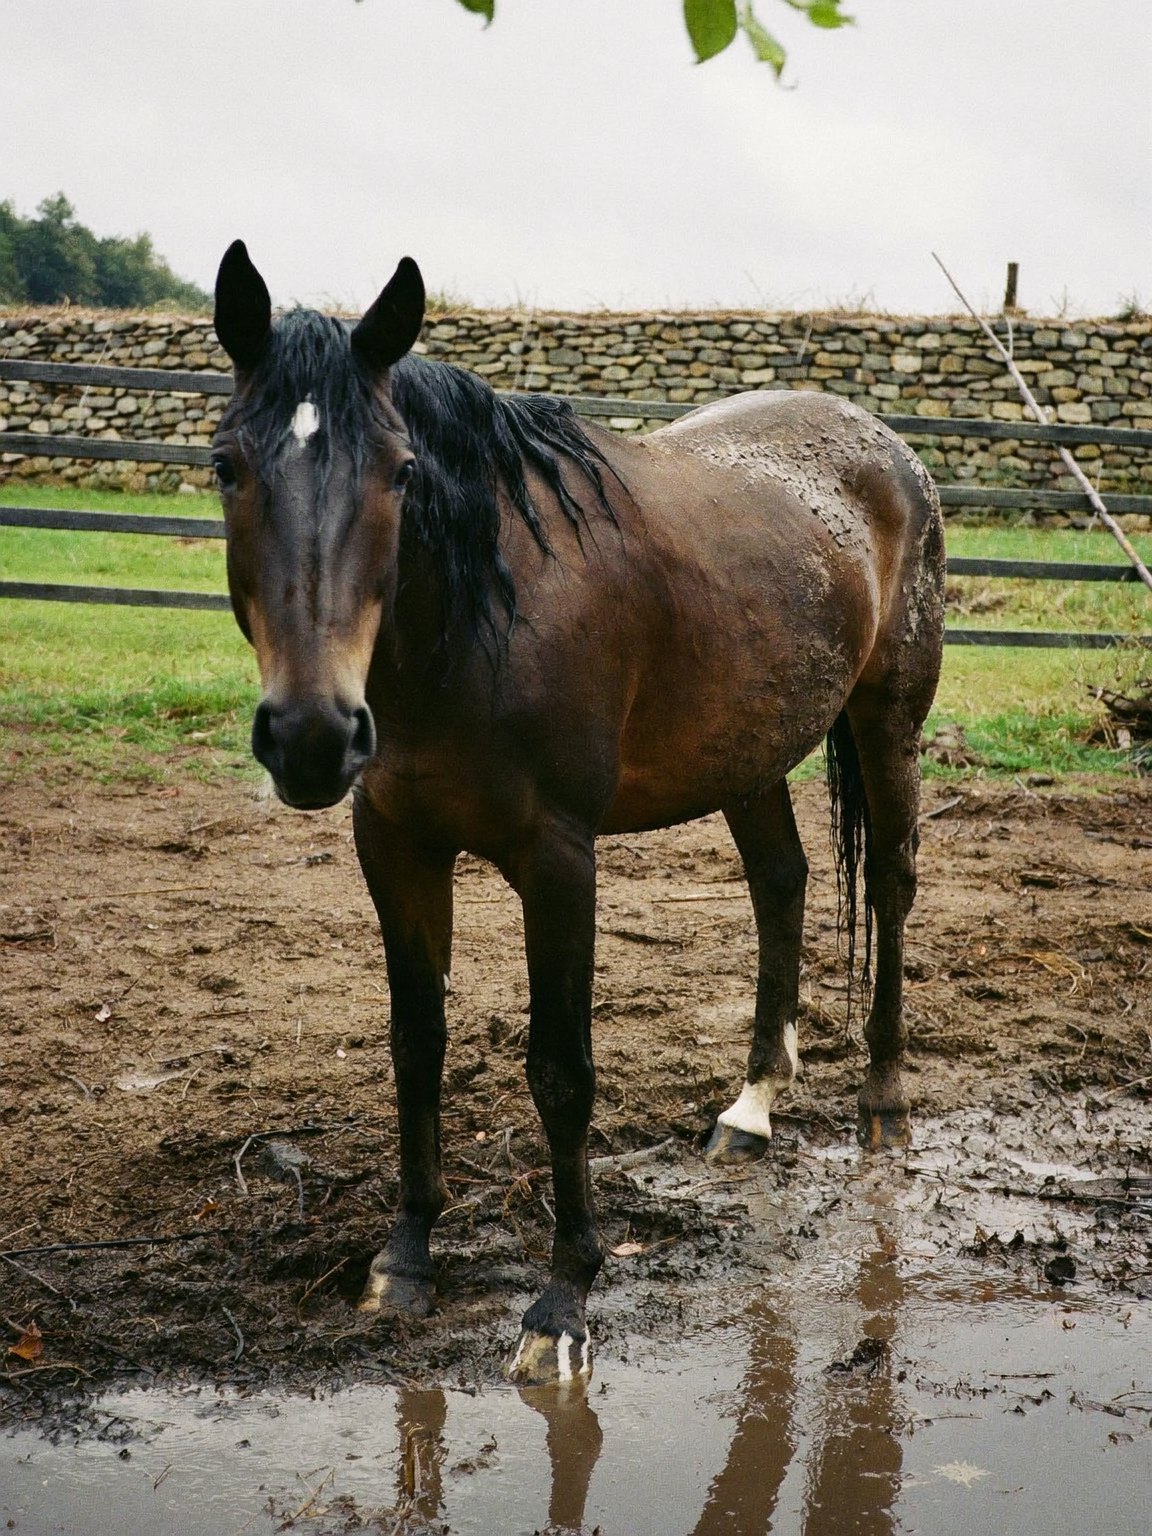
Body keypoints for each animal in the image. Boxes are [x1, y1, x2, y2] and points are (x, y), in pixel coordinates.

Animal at [211, 241, 945, 1387]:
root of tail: (887, 450)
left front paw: (563, 1303)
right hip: (749, 752)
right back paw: (751, 1109)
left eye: (402, 472)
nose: (312, 736)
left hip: (887, 720)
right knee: (780, 886)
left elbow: (561, 1072)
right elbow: (415, 1043)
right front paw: (405, 1259)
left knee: (892, 887)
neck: (477, 624)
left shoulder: (558, 860)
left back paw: (882, 1101)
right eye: (225, 467)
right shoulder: (396, 847)